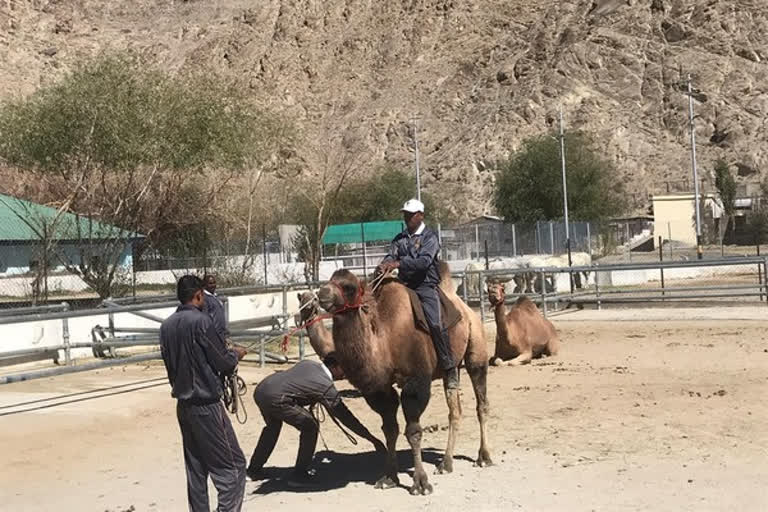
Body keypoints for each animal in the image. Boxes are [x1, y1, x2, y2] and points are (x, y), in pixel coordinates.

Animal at [316, 262, 492, 494]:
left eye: (349, 287)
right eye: (328, 280)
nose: (322, 294)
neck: (384, 339)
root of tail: (465, 308)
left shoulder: (416, 381)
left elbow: (413, 431)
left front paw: (421, 483)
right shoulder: (379, 389)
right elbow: (390, 430)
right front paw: (389, 478)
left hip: (476, 349)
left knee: (481, 402)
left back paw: (484, 457)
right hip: (451, 367)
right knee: (455, 409)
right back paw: (446, 463)